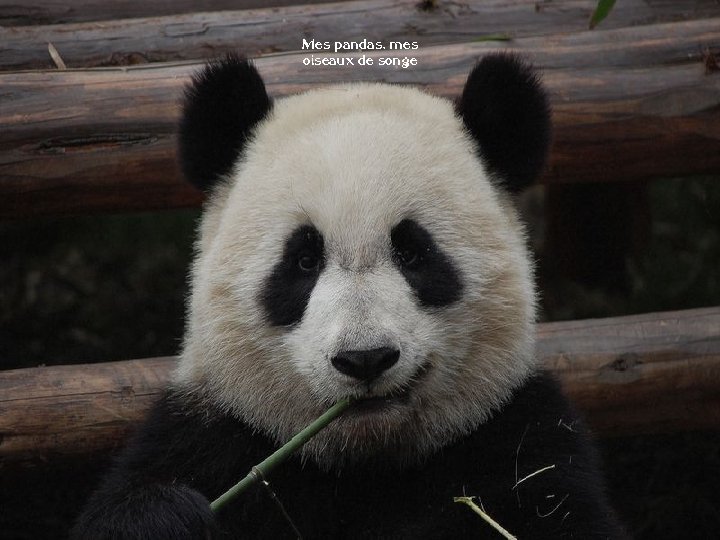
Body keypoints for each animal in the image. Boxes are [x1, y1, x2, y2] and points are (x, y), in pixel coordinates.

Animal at [72, 53, 626, 539]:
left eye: (413, 253)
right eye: (303, 260)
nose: (365, 359)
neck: (363, 465)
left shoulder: (518, 439)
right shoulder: (208, 435)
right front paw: (168, 518)